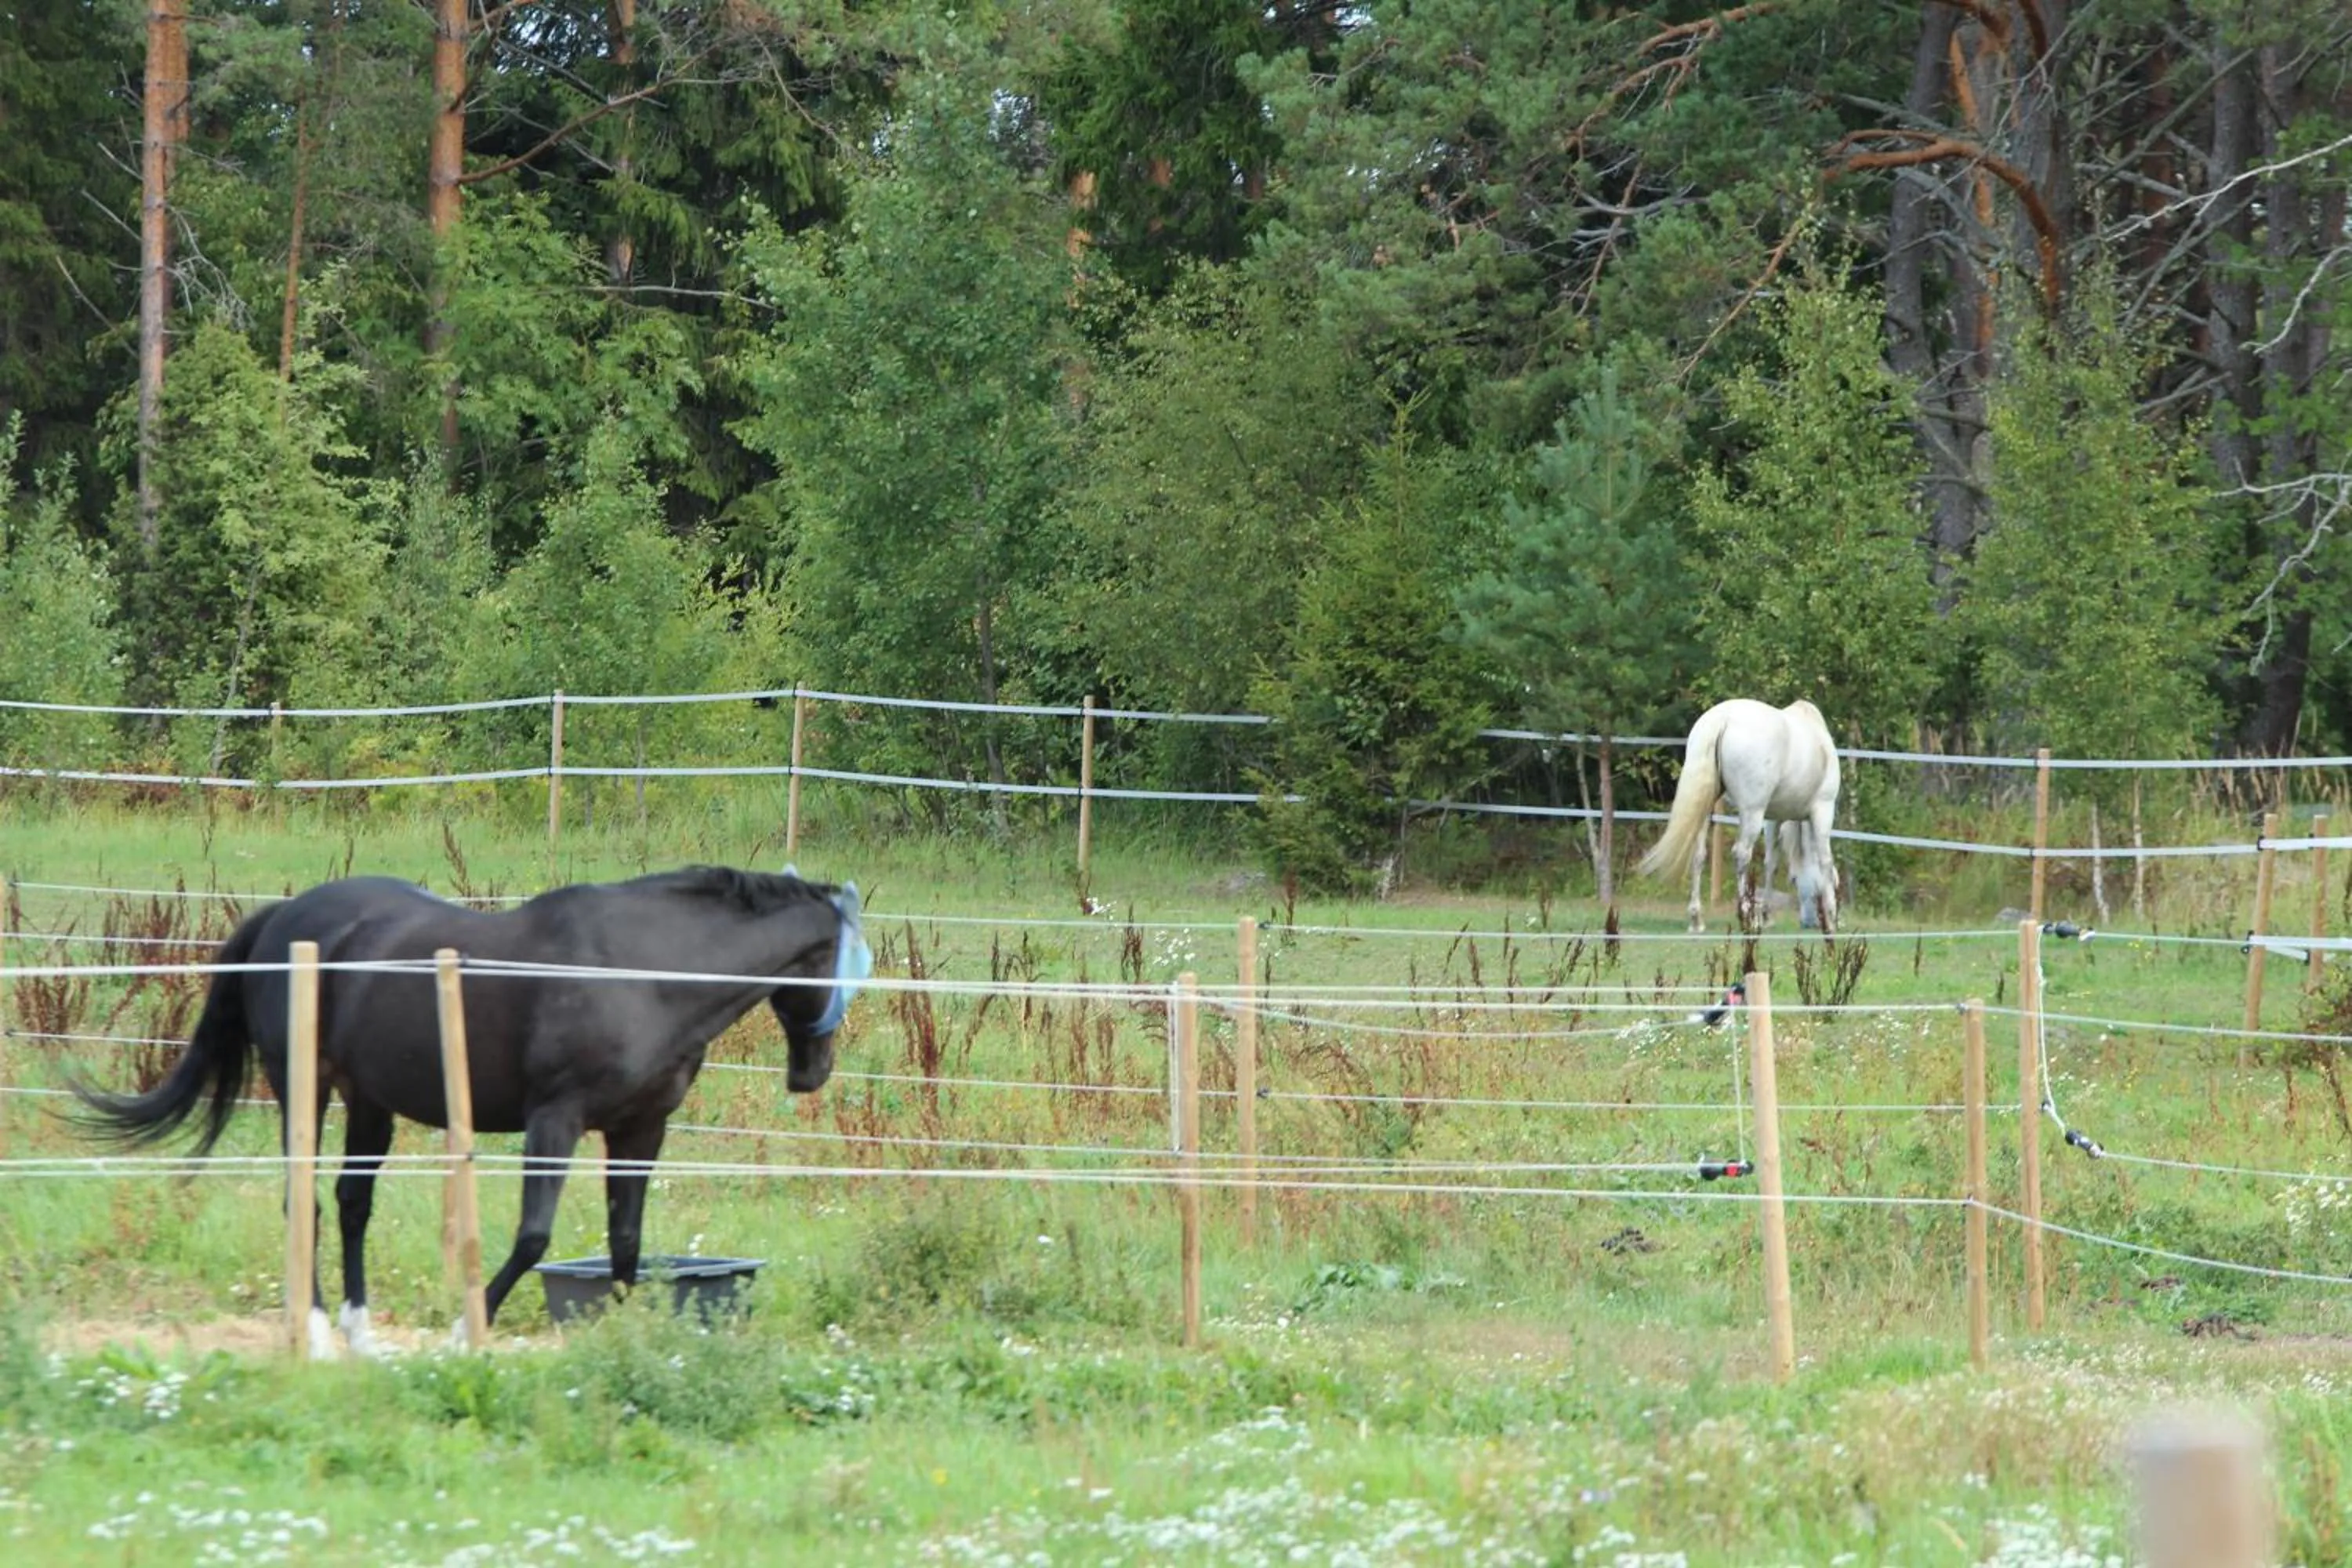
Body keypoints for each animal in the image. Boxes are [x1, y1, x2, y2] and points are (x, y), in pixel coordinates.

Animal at [74, 865, 873, 1356]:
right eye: (850, 967)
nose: (812, 1075)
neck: (644, 972)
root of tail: (284, 918)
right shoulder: (555, 1121)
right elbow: (533, 1238)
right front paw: (468, 1330)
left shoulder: (640, 1128)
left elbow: (627, 1244)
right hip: (303, 1085)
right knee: (303, 1202)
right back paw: (320, 1331)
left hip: (370, 1100)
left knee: (352, 1203)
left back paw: (361, 1333)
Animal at [1636, 698, 1841, 935]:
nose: (1810, 923)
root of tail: (1722, 719)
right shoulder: (1823, 809)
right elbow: (1826, 860)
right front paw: (1831, 915)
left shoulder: (1773, 818)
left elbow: (1771, 862)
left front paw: (1767, 915)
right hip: (1752, 813)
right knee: (1741, 854)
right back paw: (1746, 916)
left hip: (1707, 809)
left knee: (1699, 855)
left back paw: (1697, 919)